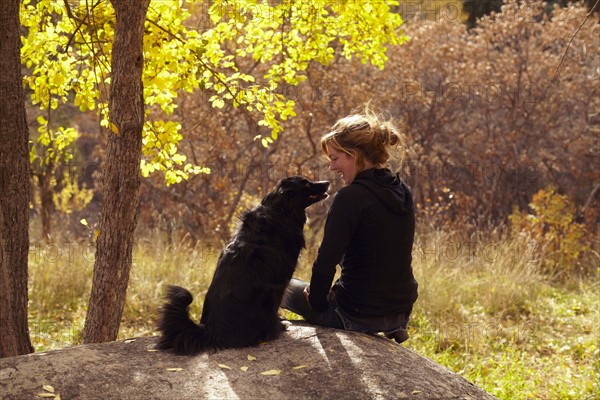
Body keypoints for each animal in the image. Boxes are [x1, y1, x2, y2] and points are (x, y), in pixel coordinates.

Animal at [156, 175, 328, 354]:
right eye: (306, 184)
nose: (327, 182)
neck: (279, 210)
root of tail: (211, 332)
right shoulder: (279, 282)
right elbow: (276, 306)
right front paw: (280, 324)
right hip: (264, 294)